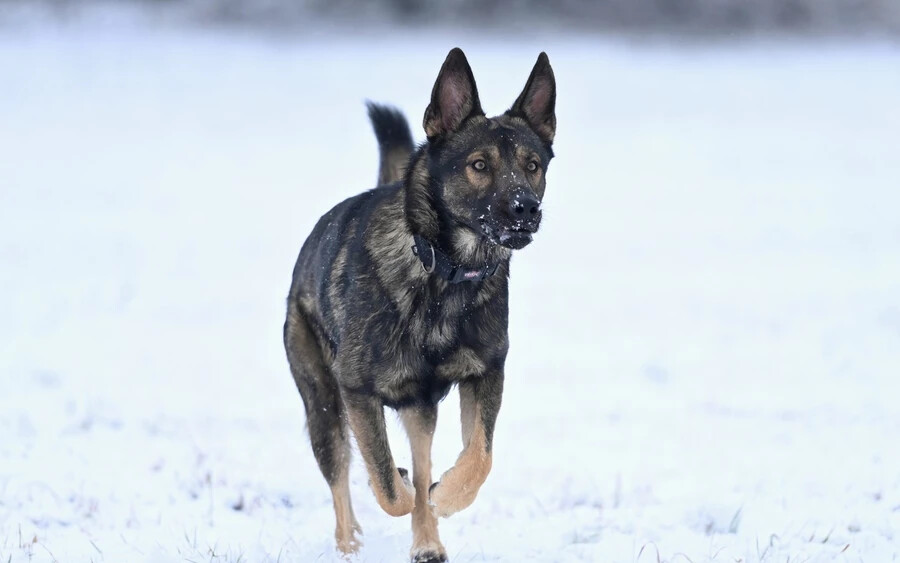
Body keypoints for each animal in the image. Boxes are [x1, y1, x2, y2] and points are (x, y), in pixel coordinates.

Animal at [284, 49, 556, 563]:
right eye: (478, 164)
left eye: (533, 165)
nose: (526, 209)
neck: (445, 274)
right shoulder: (357, 391)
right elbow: (386, 482)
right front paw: (404, 489)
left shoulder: (485, 374)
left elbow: (479, 457)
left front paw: (444, 496)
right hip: (324, 405)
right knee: (343, 475)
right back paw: (350, 543)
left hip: (419, 409)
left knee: (422, 455)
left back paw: (428, 535)